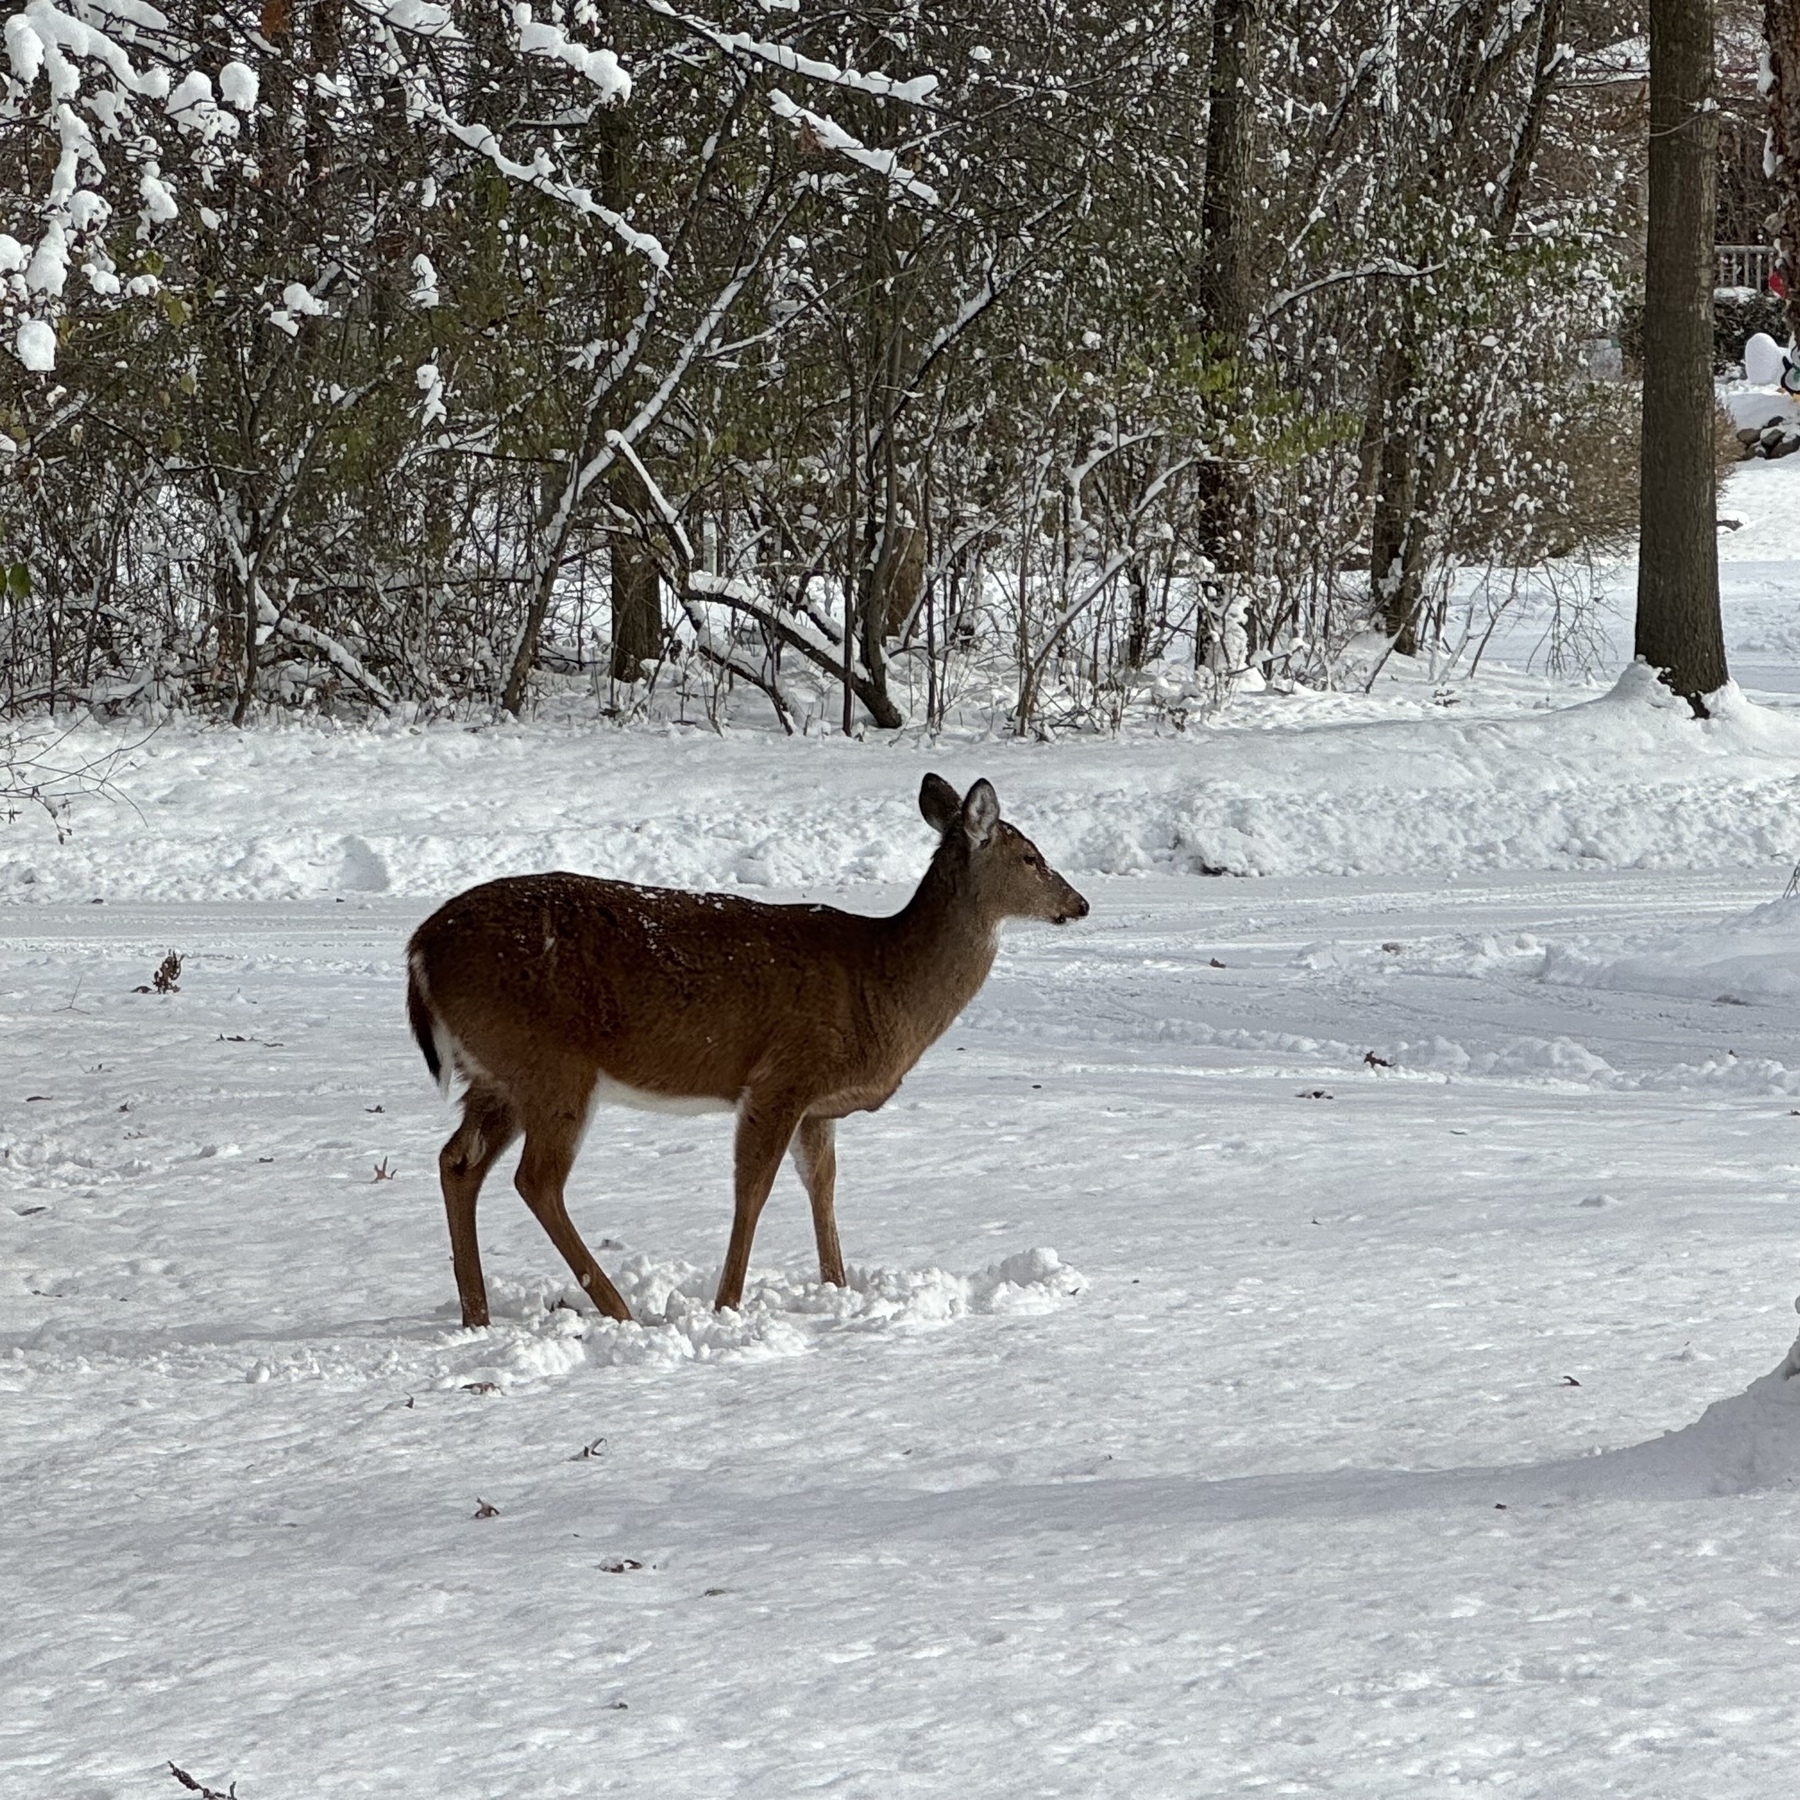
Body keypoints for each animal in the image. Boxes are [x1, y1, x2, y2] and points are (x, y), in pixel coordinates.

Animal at [405, 766, 1080, 1332]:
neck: (882, 986)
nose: (1080, 903)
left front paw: (838, 1289)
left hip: (496, 1073)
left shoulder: (817, 1104)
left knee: (458, 1162)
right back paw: (620, 1311)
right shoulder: (782, 1075)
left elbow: (823, 1185)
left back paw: (476, 1316)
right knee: (536, 1179)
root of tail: (420, 949)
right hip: (551, 1065)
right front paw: (726, 1306)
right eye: (1031, 856)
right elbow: (752, 1189)